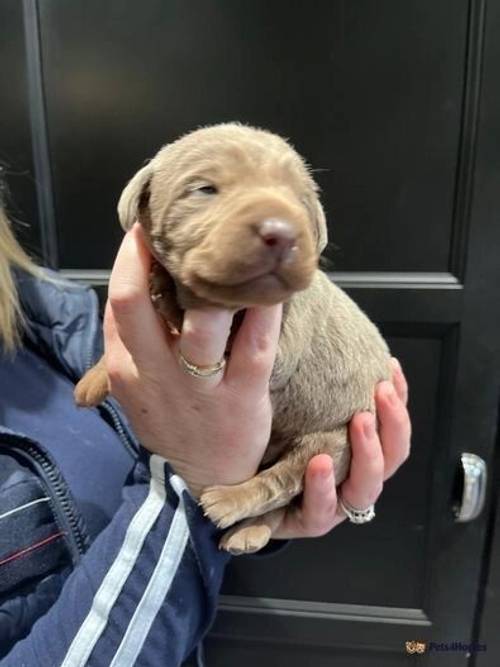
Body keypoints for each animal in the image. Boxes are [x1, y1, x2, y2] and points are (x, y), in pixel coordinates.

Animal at [75, 124, 390, 552]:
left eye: (299, 200)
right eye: (205, 189)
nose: (282, 232)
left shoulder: (280, 344)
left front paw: (167, 294)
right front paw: (94, 378)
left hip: (335, 442)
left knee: (284, 481)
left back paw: (230, 505)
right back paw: (250, 532)